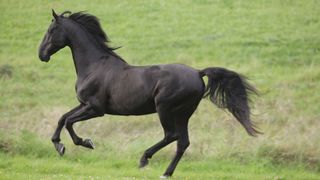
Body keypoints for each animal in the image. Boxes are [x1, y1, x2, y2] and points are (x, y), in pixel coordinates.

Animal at [38, 9, 262, 177]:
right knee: (183, 142)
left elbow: (69, 121)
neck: (95, 66)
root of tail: (198, 73)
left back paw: (144, 158)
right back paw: (166, 173)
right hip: (183, 114)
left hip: (166, 109)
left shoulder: (96, 108)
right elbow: (62, 118)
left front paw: (85, 143)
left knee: (171, 136)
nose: (41, 55)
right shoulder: (84, 104)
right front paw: (59, 145)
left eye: (51, 29)